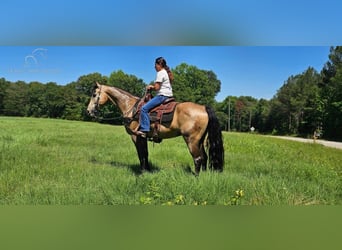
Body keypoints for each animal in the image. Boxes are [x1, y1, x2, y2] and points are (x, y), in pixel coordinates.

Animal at [87, 82, 223, 174]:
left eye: (94, 94)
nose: (88, 111)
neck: (131, 107)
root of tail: (203, 107)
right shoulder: (143, 137)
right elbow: (145, 154)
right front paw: (147, 170)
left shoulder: (136, 136)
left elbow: (141, 154)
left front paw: (142, 172)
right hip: (200, 140)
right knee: (204, 157)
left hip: (191, 140)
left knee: (198, 158)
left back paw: (196, 177)